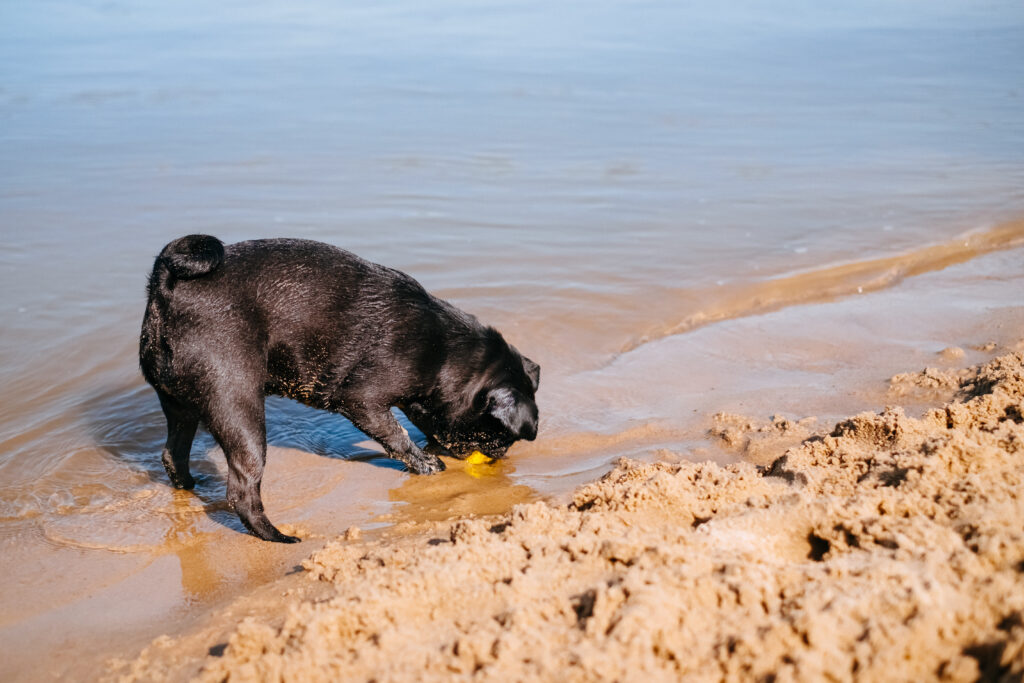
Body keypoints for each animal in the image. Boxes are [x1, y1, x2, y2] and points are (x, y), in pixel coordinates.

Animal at [140, 236, 540, 544]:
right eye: (499, 434)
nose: (500, 455)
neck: (444, 355)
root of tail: (167, 289)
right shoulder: (362, 401)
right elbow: (395, 436)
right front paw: (426, 463)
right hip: (238, 410)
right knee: (243, 490)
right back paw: (278, 537)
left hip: (179, 405)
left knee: (173, 453)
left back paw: (190, 486)